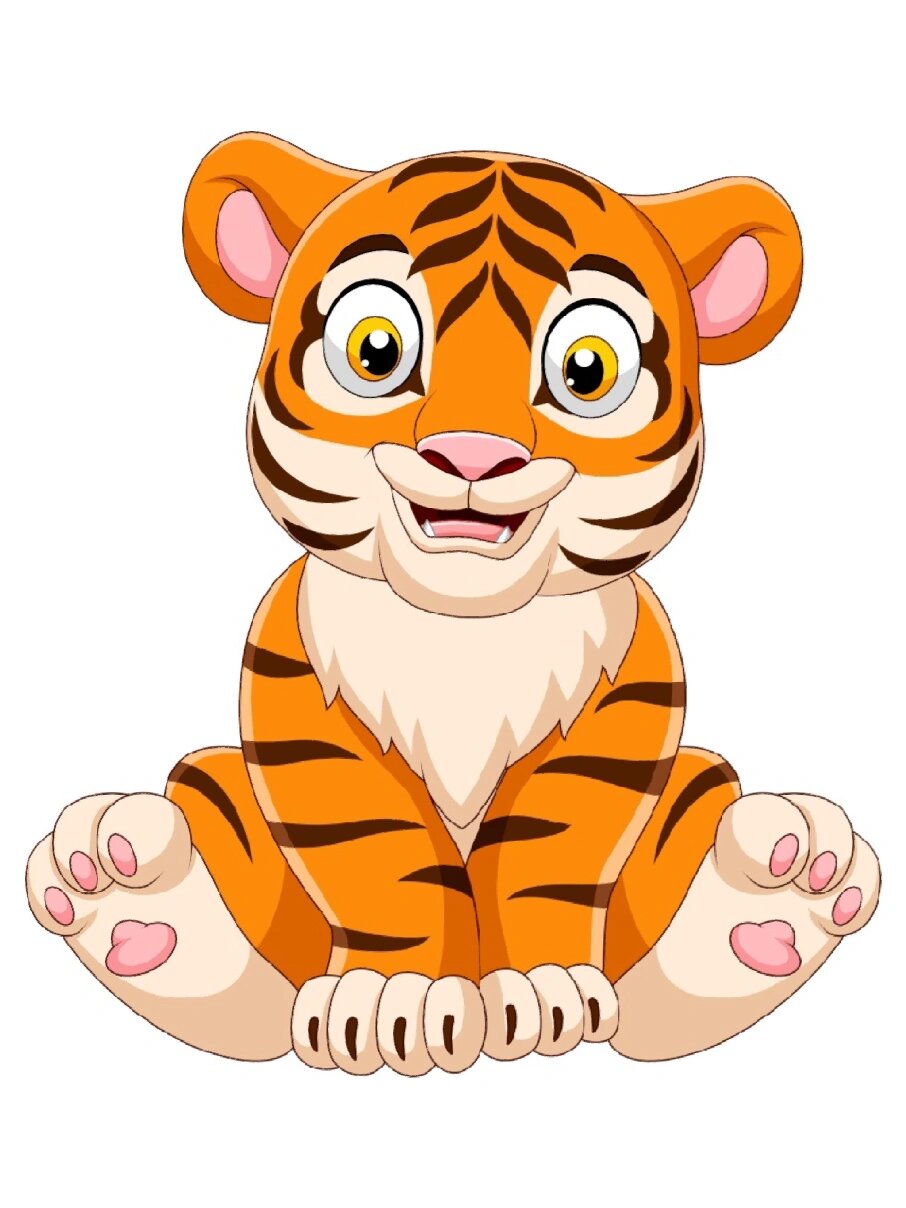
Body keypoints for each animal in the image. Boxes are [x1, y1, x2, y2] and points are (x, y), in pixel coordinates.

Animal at [26, 132, 880, 1075]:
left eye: (587, 369)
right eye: (377, 350)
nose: (472, 454)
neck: (463, 629)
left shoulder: (616, 725)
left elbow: (547, 855)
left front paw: (542, 988)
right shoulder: (310, 727)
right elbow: (382, 856)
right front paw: (393, 994)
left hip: (693, 791)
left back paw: (778, 898)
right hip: (219, 792)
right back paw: (127, 896)